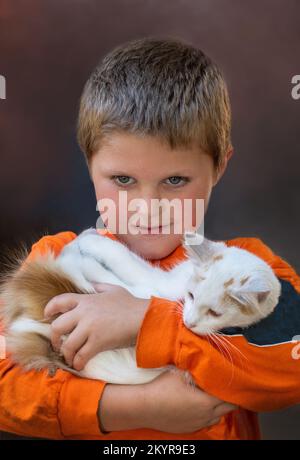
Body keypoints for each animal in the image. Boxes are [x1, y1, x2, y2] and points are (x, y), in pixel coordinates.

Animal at [0, 229, 282, 384]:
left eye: (215, 313)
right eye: (191, 295)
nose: (189, 323)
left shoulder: (151, 283)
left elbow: (121, 256)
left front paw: (92, 243)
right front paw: (89, 236)